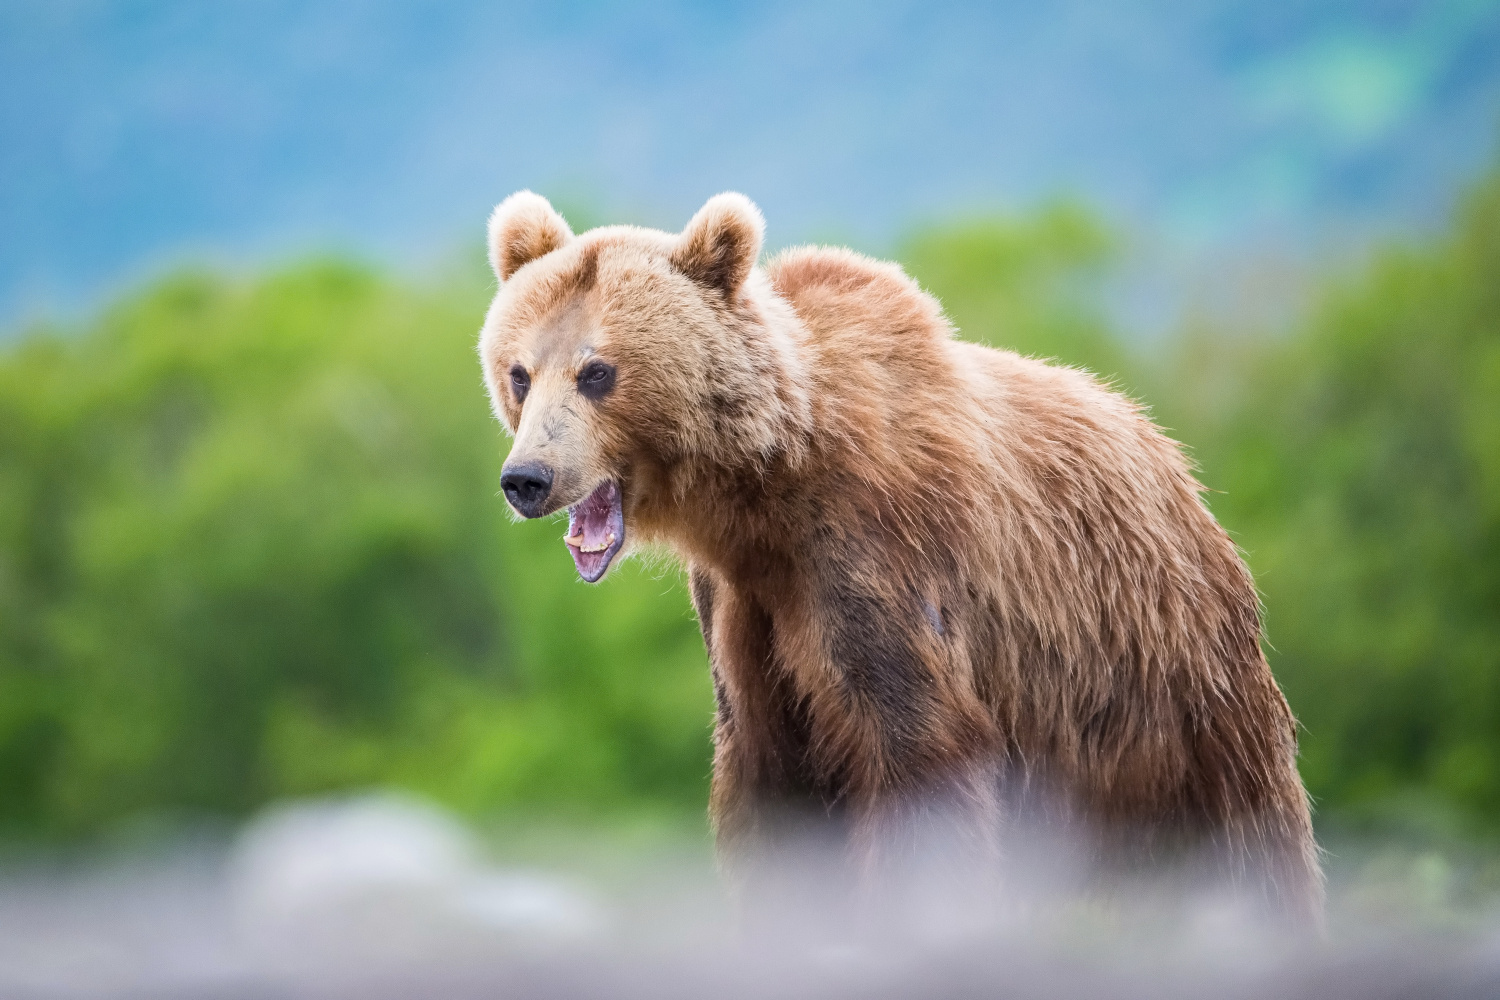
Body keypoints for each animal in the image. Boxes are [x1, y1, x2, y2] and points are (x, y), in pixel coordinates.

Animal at [474, 189, 1320, 929]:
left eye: (598, 371)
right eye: (519, 371)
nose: (527, 478)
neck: (764, 495)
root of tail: (1178, 468)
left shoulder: (876, 562)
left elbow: (918, 752)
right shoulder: (742, 610)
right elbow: (768, 772)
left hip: (1163, 687)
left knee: (1246, 836)